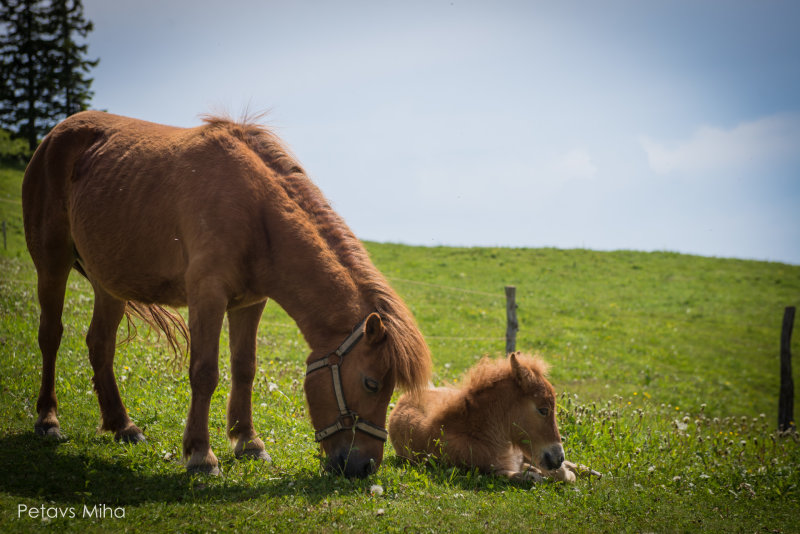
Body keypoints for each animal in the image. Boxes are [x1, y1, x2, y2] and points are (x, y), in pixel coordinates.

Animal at [22, 110, 432, 478]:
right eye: (371, 383)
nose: (365, 467)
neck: (256, 211)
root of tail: (55, 134)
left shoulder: (250, 304)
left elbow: (244, 368)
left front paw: (248, 442)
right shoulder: (207, 296)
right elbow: (205, 373)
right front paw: (201, 455)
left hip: (109, 283)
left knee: (100, 345)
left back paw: (122, 425)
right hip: (52, 265)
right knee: (50, 336)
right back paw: (48, 420)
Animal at [389, 352, 595, 483]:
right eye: (543, 410)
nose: (558, 457)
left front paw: (571, 471)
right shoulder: (486, 470)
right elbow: (531, 476)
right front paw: (559, 474)